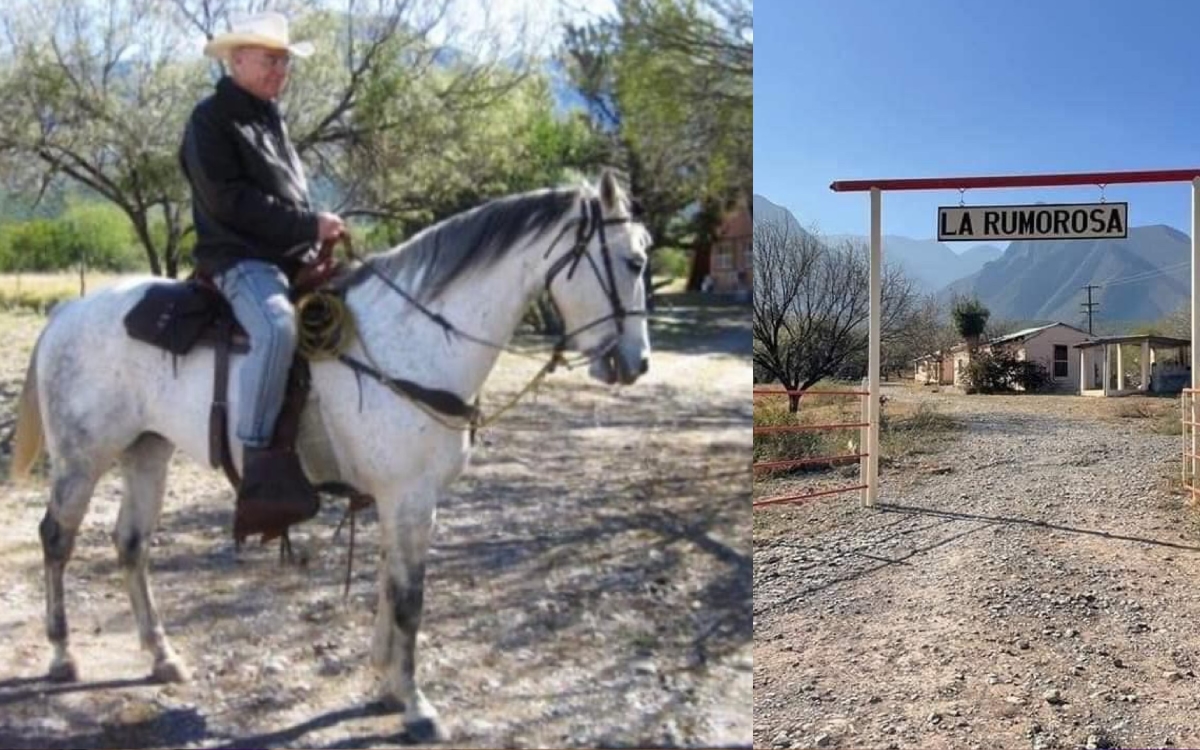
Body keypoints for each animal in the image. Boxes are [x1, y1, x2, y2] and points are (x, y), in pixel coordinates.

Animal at [7, 171, 648, 744]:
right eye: (633, 262)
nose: (636, 363)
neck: (413, 340)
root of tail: (66, 313)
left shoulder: (403, 502)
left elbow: (390, 583)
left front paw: (387, 685)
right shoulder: (409, 498)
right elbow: (410, 599)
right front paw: (417, 705)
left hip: (146, 452)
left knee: (131, 545)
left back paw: (162, 656)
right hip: (82, 458)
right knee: (56, 539)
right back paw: (62, 655)